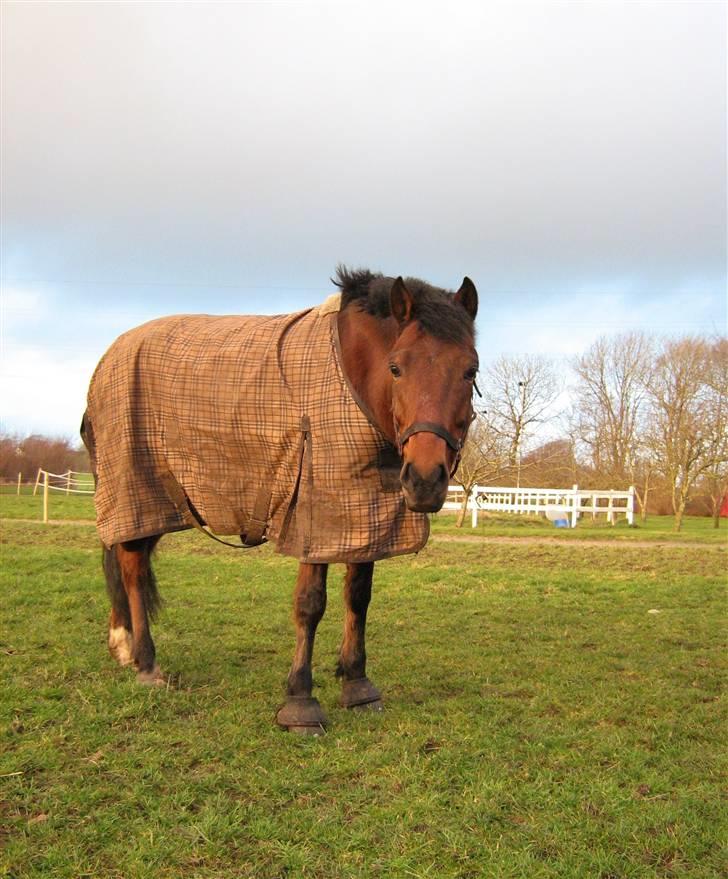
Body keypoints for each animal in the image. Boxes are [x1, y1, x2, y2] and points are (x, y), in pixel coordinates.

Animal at [81, 267, 478, 734]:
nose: (425, 479)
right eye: (396, 367)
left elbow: (358, 597)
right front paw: (301, 702)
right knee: (132, 569)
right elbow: (310, 604)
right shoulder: (313, 514)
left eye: (470, 370)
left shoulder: (363, 514)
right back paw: (146, 663)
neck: (349, 375)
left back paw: (124, 647)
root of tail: (109, 359)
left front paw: (358, 685)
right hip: (135, 490)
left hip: (161, 501)